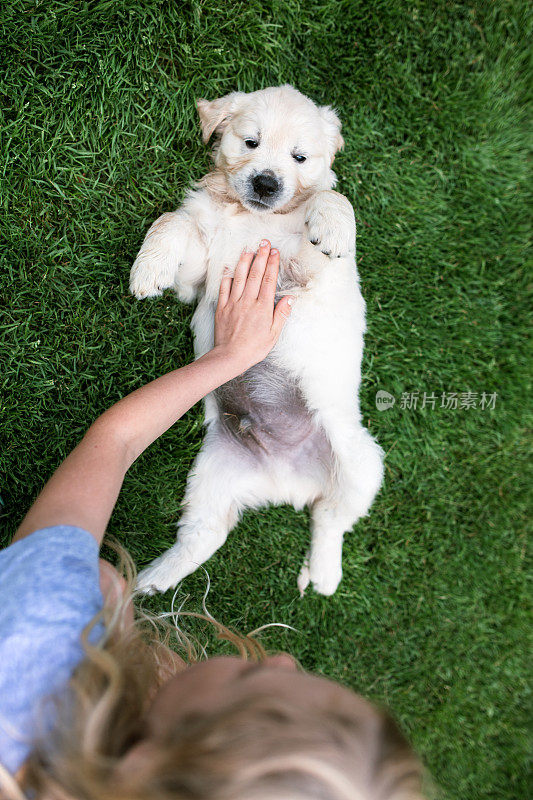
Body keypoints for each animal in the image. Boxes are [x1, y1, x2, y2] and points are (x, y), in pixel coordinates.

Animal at [129, 84, 382, 592]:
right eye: (251, 142)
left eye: (299, 157)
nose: (266, 183)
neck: (253, 214)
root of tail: (287, 483)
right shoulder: (199, 276)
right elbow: (174, 221)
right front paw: (149, 270)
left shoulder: (303, 273)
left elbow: (334, 197)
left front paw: (334, 227)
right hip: (212, 476)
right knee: (205, 536)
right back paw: (149, 581)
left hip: (363, 463)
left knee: (331, 519)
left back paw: (323, 574)